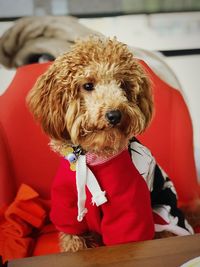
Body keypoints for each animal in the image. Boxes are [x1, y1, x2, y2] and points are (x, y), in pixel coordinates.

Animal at [27, 36, 194, 252]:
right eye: (88, 85)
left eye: (122, 85)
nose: (115, 115)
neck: (91, 159)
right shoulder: (68, 208)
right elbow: (73, 240)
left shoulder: (128, 208)